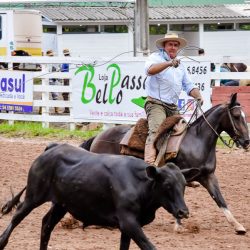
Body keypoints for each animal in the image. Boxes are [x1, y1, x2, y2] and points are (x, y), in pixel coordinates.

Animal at [81, 92, 249, 234]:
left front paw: (238, 226)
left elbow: (220, 200)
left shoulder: (208, 176)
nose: (246, 141)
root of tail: (98, 136)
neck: (197, 141)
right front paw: (179, 224)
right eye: (236, 116)